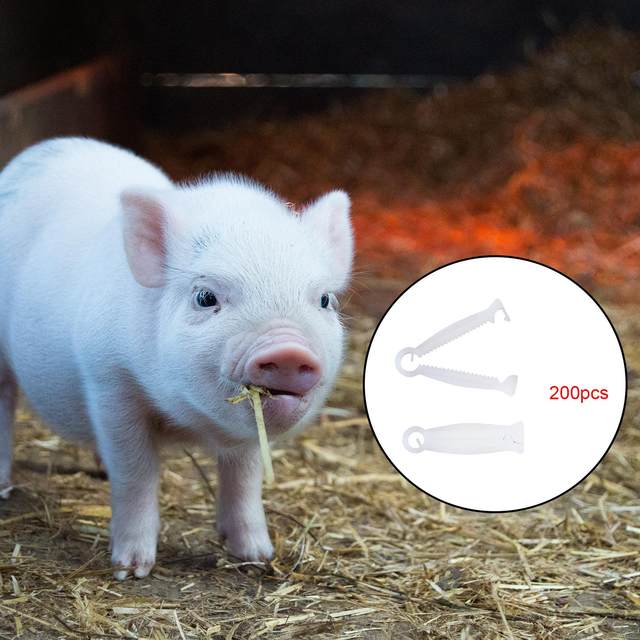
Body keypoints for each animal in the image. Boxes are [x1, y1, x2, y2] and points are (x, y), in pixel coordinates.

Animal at [0, 137, 353, 579]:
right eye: (205, 297)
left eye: (324, 300)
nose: (288, 349)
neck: (188, 423)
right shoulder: (108, 382)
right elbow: (135, 473)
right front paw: (131, 570)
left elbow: (245, 477)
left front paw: (257, 556)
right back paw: (3, 487)